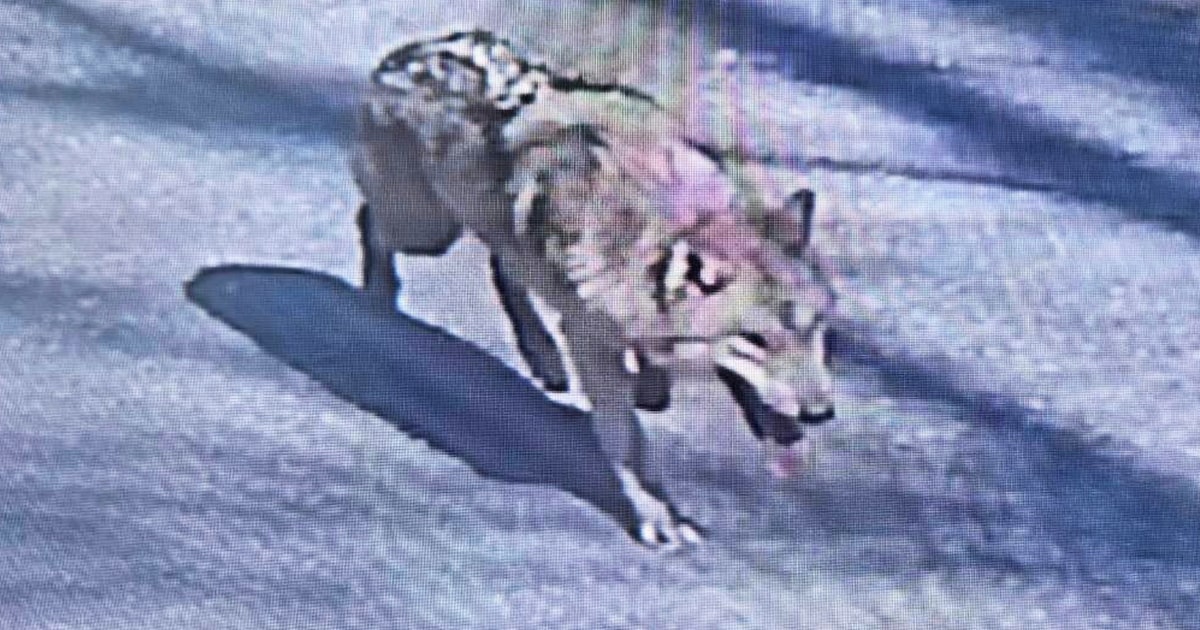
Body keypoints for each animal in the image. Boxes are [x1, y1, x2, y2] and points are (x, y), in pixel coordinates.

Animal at [351, 30, 837, 549]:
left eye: (814, 330)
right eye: (755, 341)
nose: (820, 414)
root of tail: (409, 52)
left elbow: (651, 383)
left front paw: (649, 384)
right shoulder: (591, 341)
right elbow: (628, 443)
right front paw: (661, 518)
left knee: (504, 266)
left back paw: (543, 357)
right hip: (426, 231)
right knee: (371, 222)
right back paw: (378, 299)